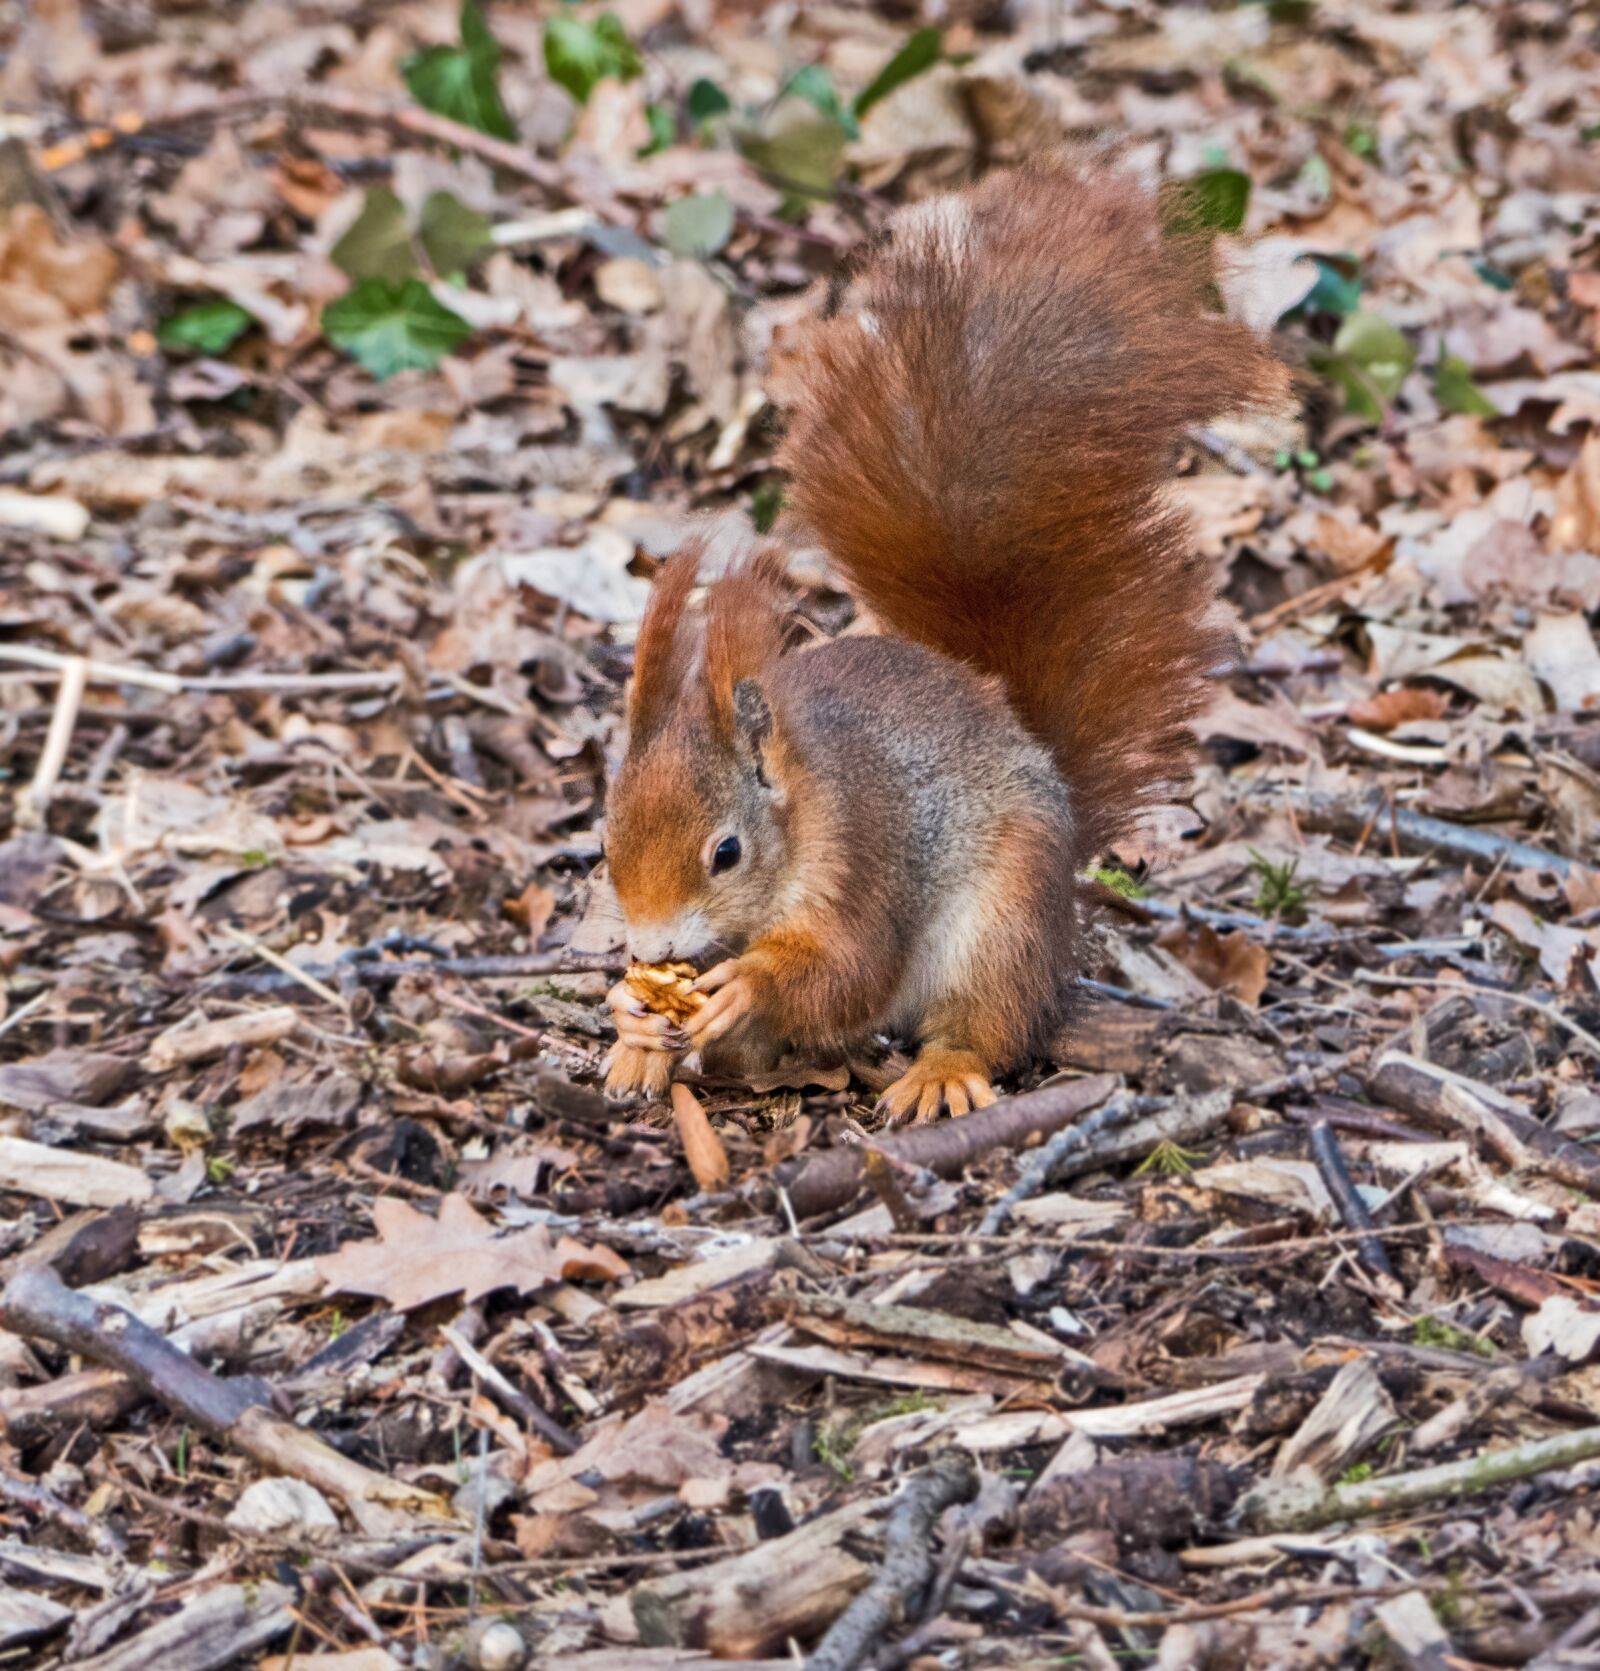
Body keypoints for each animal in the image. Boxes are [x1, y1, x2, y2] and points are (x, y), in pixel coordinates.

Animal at [601, 161, 1283, 1118]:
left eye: (726, 852)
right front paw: (631, 1014)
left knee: (986, 1017)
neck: (801, 809)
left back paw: (942, 1069)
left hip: (1001, 917)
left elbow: (849, 966)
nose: (651, 946)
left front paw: (747, 985)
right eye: (606, 839)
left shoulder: (863, 860)